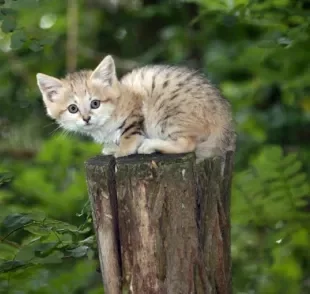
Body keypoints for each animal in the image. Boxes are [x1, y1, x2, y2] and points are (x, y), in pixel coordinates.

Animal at [35, 55, 235, 161]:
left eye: (95, 103)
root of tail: (224, 118)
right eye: (73, 108)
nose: (86, 118)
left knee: (188, 144)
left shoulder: (136, 110)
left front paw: (123, 149)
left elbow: (129, 131)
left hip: (166, 114)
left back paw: (151, 145)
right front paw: (111, 147)